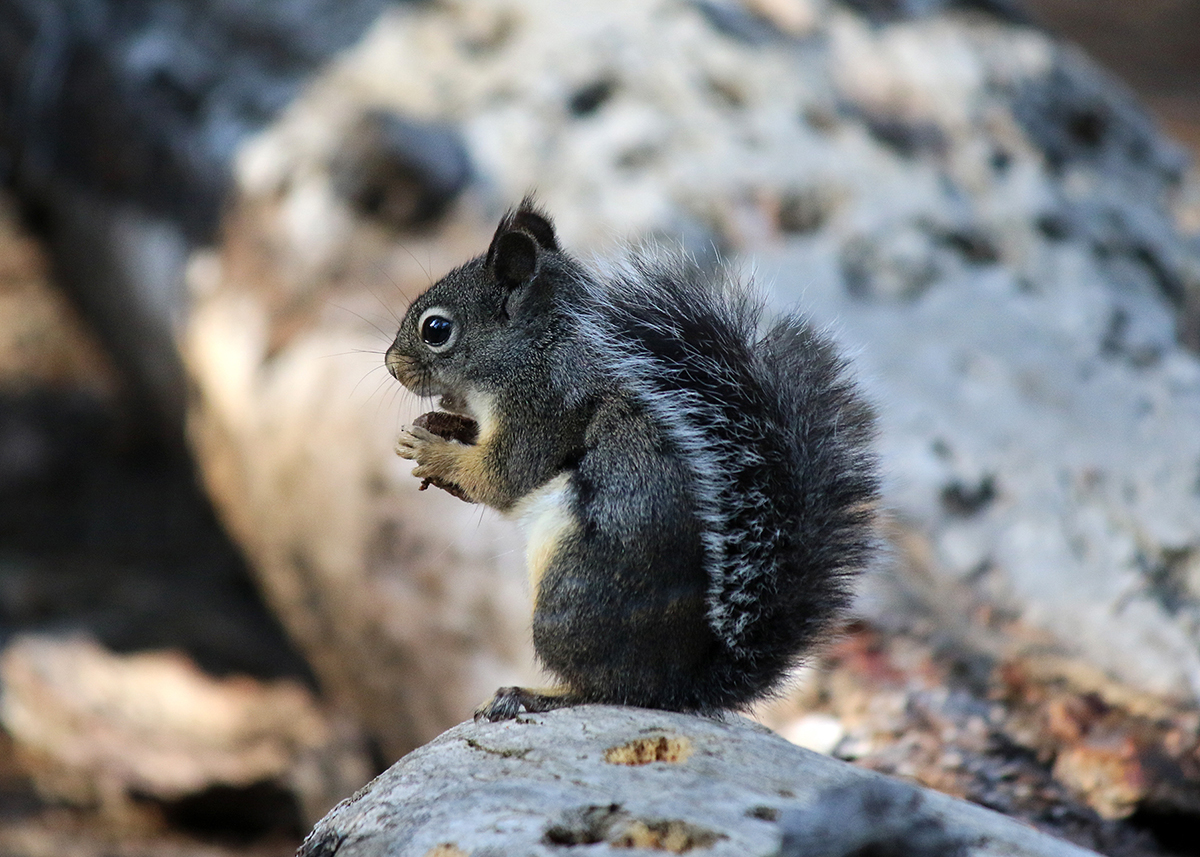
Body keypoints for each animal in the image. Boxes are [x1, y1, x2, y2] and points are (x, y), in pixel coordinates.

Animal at [386, 196, 883, 715]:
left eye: (436, 329)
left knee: (608, 690)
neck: (535, 346)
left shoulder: (541, 406)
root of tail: (680, 688)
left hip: (570, 601)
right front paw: (442, 428)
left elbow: (504, 477)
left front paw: (432, 451)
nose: (390, 365)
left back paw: (532, 694)